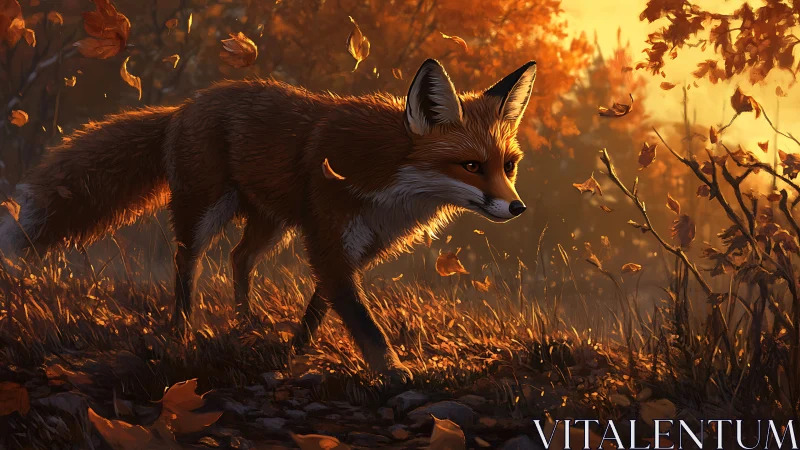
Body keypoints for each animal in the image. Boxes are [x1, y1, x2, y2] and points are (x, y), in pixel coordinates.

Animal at [0, 58, 536, 381]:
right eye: (471, 166)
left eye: (508, 166)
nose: (518, 208)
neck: (391, 181)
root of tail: (183, 106)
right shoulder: (328, 240)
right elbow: (363, 322)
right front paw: (392, 371)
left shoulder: (352, 248)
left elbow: (321, 308)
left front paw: (296, 348)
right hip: (204, 211)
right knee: (186, 264)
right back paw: (183, 332)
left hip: (270, 223)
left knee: (239, 258)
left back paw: (245, 323)